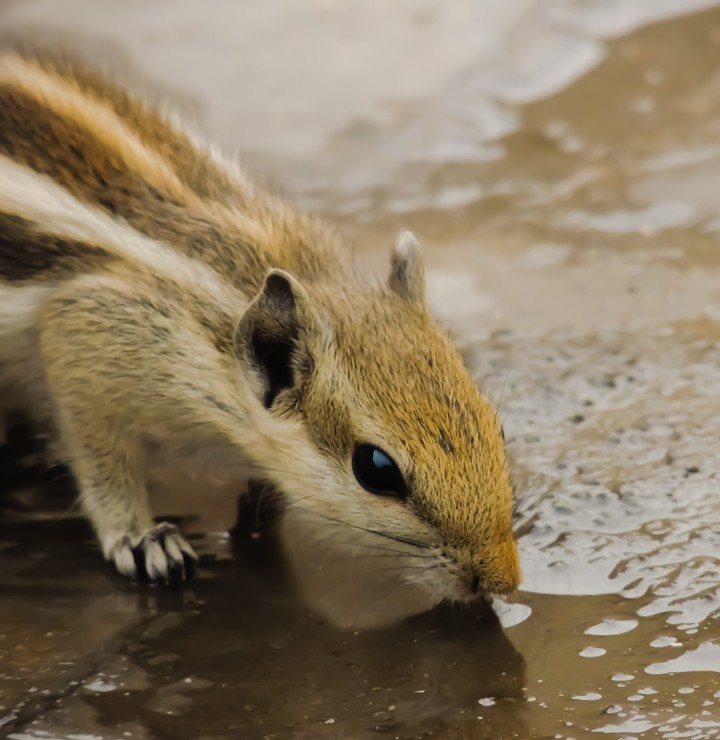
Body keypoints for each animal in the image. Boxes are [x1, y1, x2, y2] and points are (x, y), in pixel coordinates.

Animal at [0, 44, 521, 603]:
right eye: (375, 470)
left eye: (498, 427)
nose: (505, 579)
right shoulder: (88, 335)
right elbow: (101, 457)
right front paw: (141, 538)